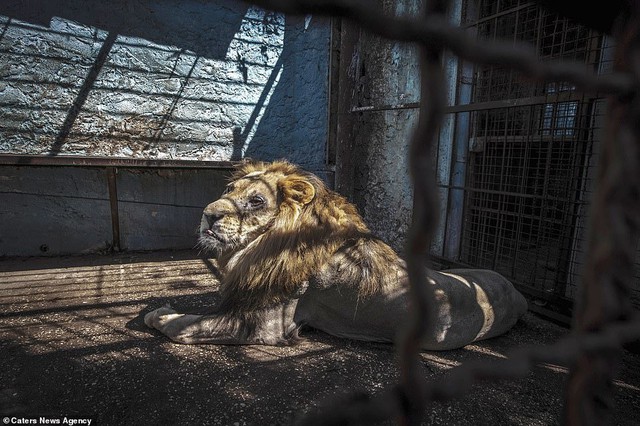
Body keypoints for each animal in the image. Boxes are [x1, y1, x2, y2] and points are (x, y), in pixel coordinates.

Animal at [146, 160, 528, 350]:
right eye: (228, 189)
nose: (208, 215)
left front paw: (159, 315)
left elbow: (187, 326)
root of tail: (519, 293)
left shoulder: (267, 326)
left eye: (256, 200)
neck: (260, 245)